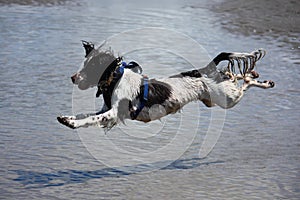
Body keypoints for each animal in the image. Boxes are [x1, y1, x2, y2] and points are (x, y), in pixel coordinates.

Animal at [56, 41, 274, 130]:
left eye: (91, 67)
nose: (73, 77)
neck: (116, 79)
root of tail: (205, 70)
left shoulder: (115, 112)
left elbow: (90, 119)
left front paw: (73, 123)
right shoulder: (106, 109)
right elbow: (85, 115)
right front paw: (67, 118)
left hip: (227, 98)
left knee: (243, 83)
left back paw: (261, 81)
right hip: (216, 99)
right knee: (234, 78)